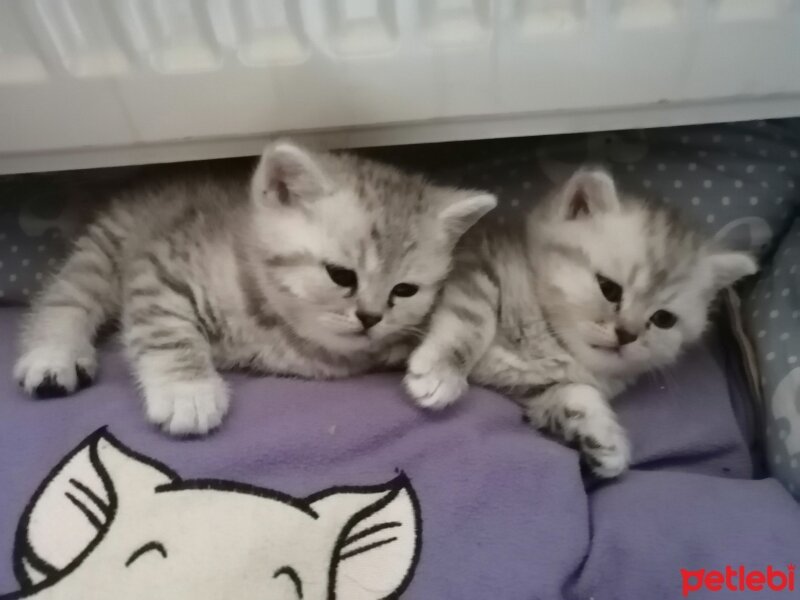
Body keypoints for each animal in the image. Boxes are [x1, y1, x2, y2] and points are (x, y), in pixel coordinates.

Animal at [15, 141, 496, 436]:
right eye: (341, 275)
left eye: (406, 290)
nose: (371, 317)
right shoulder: (162, 267)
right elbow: (167, 330)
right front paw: (187, 391)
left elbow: (476, 312)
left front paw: (443, 371)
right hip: (108, 244)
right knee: (70, 293)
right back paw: (54, 354)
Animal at [406, 166, 756, 476]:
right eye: (609, 288)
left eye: (663, 319)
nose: (627, 334)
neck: (549, 337)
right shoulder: (474, 262)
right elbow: (473, 318)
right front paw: (439, 373)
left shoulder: (528, 388)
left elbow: (575, 394)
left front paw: (605, 439)